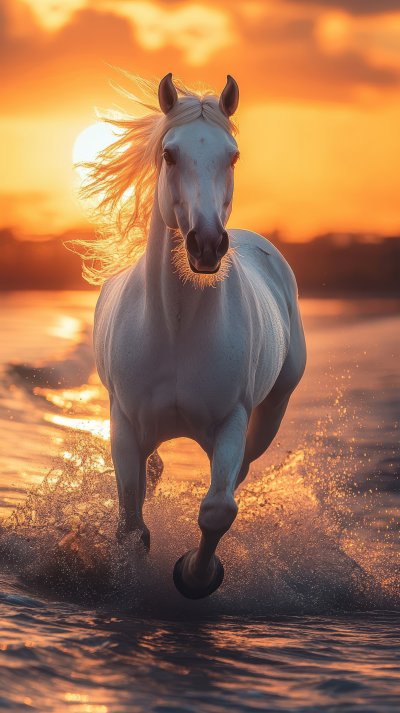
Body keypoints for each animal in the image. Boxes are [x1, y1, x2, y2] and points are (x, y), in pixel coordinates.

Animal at [81, 73, 306, 599]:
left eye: (233, 156)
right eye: (170, 154)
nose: (206, 243)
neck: (177, 329)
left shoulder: (230, 421)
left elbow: (218, 509)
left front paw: (195, 575)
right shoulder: (125, 422)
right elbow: (131, 525)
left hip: (272, 409)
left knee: (239, 472)